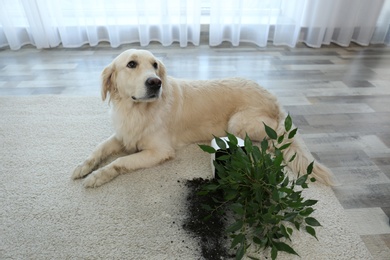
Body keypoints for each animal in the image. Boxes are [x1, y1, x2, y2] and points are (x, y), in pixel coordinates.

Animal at [71, 49, 334, 187]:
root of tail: (275, 100)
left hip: (237, 123)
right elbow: (99, 149)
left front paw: (98, 176)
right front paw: (83, 167)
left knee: (271, 142)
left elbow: (119, 161)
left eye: (154, 65)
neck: (137, 109)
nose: (155, 83)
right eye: (131, 64)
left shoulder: (159, 151)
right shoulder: (123, 134)